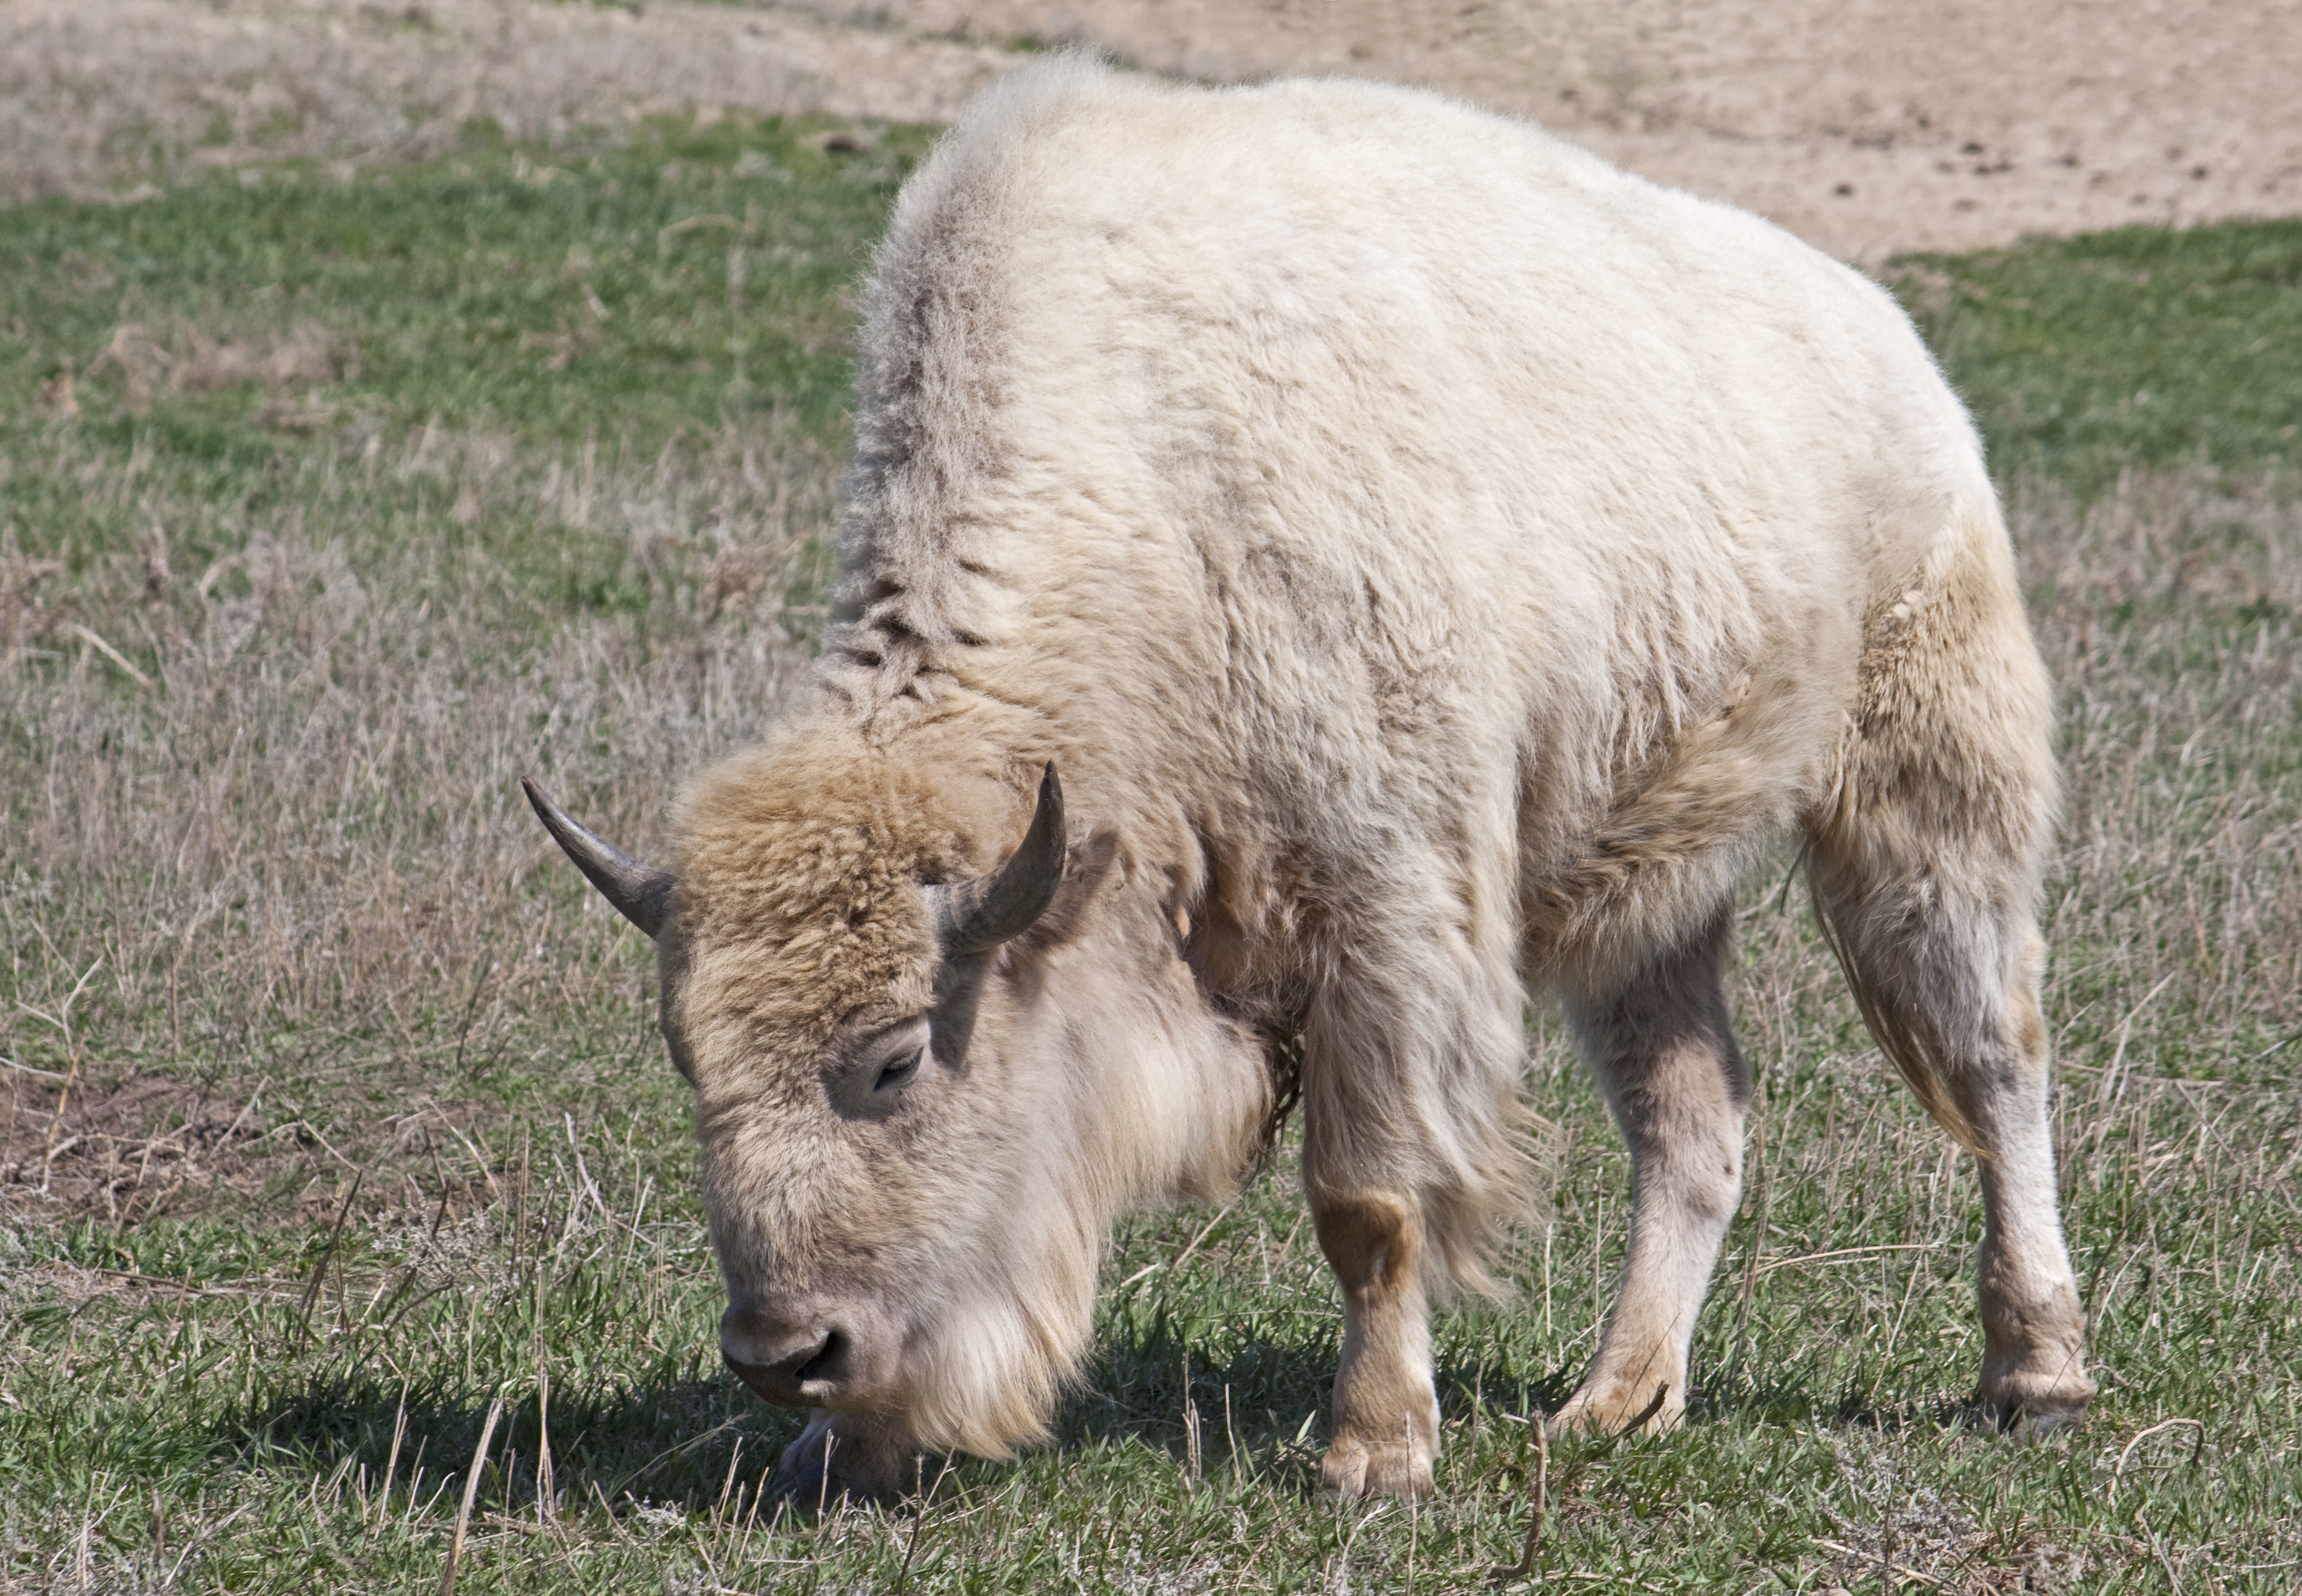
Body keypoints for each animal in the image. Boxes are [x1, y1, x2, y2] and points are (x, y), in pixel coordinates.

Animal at [529, 56, 2099, 1508]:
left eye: (898, 1056)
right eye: (688, 1058)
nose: (783, 1352)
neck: (1154, 514)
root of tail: (1891, 345)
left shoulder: (1387, 915)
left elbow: (1366, 1203)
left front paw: (1374, 1453)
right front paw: (829, 1457)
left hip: (1921, 802)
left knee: (1994, 1057)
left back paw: (2037, 1375)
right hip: (1639, 892)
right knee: (1695, 1119)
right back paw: (1614, 1403)